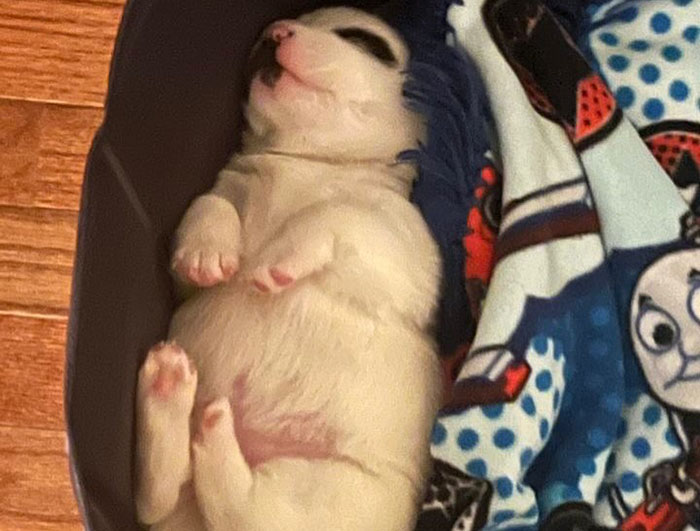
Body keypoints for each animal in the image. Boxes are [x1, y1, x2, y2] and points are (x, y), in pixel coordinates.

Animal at [136, 8, 440, 531]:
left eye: (366, 41)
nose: (271, 33)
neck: (306, 160)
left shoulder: (401, 248)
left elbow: (334, 215)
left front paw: (276, 259)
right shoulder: (216, 209)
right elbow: (210, 204)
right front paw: (207, 252)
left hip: (321, 487)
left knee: (241, 507)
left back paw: (210, 428)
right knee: (158, 493)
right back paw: (169, 388)